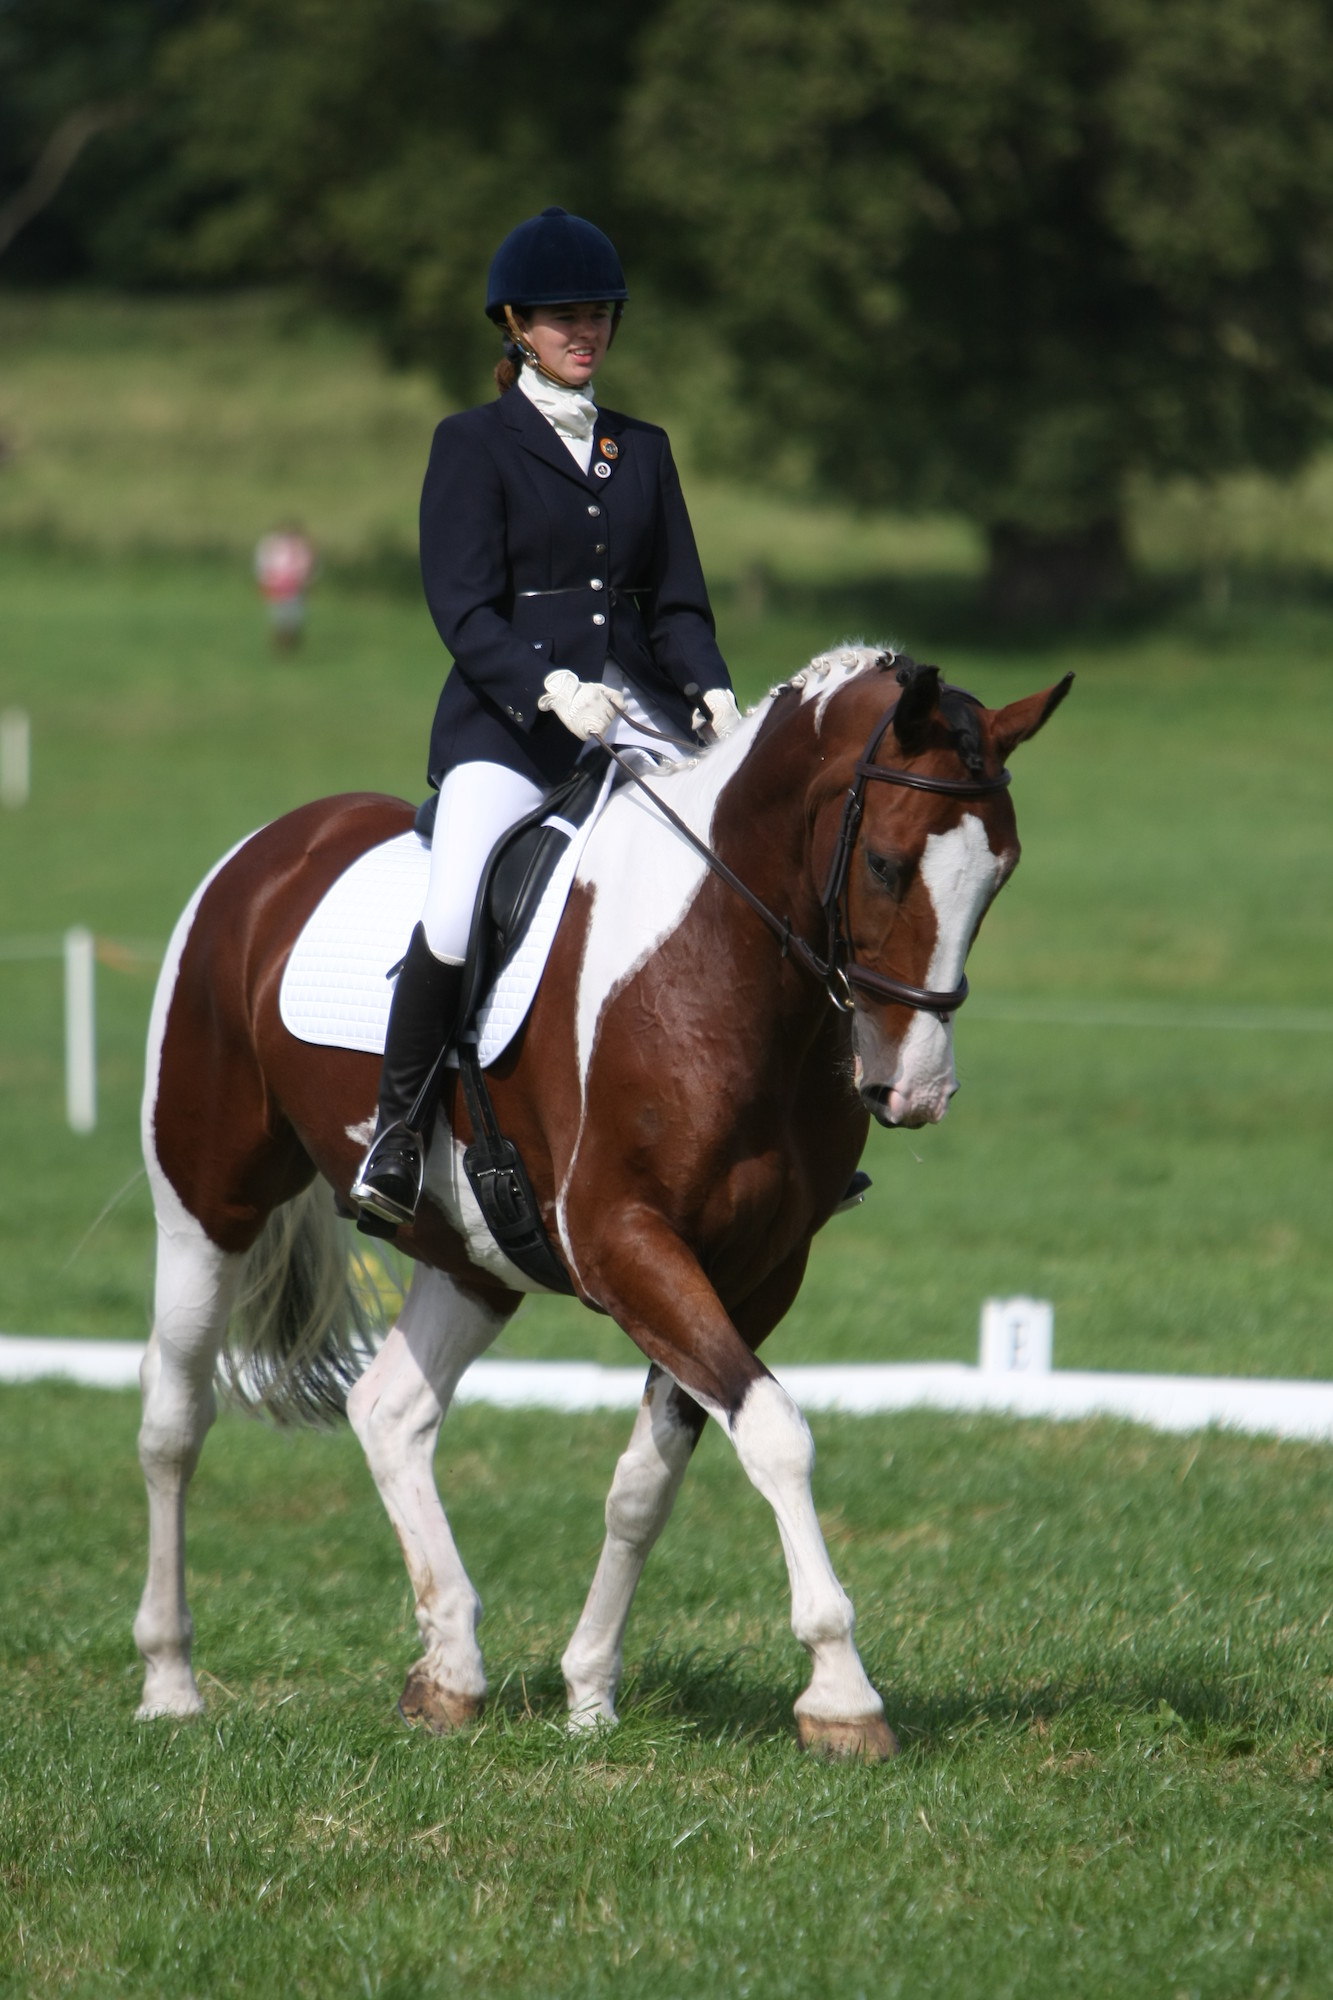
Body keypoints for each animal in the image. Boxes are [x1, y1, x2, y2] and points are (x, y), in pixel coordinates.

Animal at [132, 648, 1072, 1760]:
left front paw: (589, 1691)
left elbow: (647, 1477)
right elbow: (776, 1432)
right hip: (204, 1201)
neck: (718, 963)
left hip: (471, 1253)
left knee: (389, 1410)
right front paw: (842, 1693)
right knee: (175, 1418)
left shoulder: (756, 1269)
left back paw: (448, 1670)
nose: (913, 1090)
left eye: (999, 872)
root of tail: (271, 849)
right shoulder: (623, 1242)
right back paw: (170, 1680)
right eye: (884, 864)